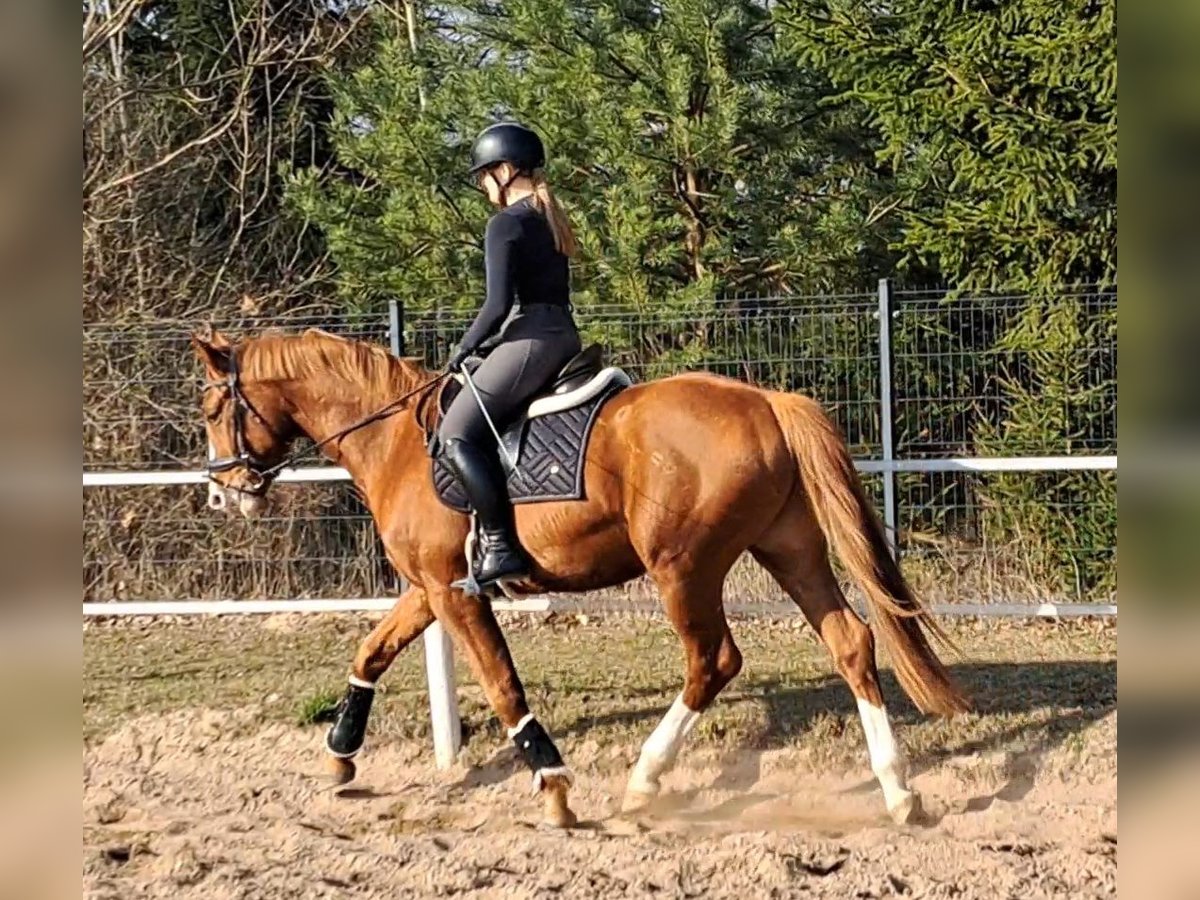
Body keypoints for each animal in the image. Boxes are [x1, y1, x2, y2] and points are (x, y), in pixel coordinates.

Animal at [192, 328, 969, 830]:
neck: (397, 440)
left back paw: (644, 781)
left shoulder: (453, 593)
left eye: (210, 408)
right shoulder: (430, 588)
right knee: (850, 642)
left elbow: (501, 684)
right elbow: (372, 651)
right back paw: (899, 793)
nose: (224, 495)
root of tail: (765, 403)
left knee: (713, 660)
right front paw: (340, 756)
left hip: (683, 568)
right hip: (790, 549)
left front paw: (555, 787)